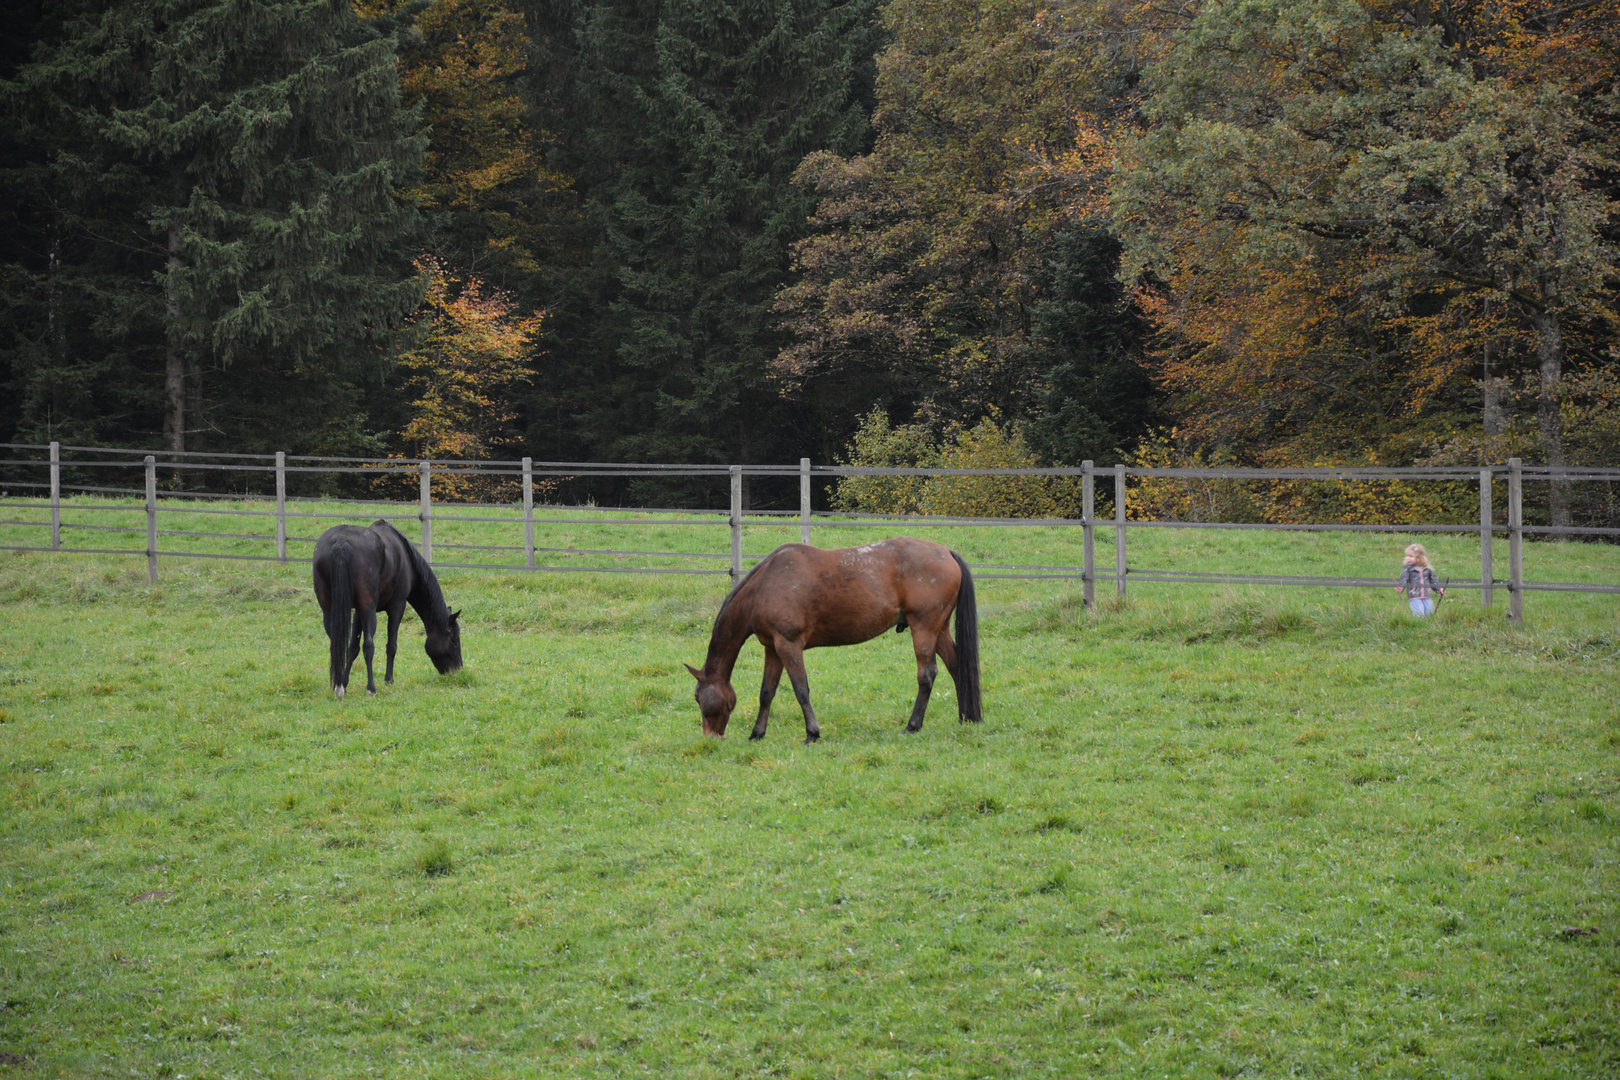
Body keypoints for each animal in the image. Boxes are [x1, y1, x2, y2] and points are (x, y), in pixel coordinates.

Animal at [312, 518, 463, 702]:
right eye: (454, 639)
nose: (458, 671)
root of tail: (342, 543)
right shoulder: (397, 606)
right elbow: (391, 645)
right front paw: (388, 680)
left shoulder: (357, 613)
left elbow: (352, 648)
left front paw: (344, 684)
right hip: (368, 608)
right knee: (369, 646)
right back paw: (371, 688)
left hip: (329, 608)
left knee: (337, 645)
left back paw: (338, 685)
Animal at [680, 534, 972, 744]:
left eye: (698, 697)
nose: (711, 739)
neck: (764, 586)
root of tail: (946, 552)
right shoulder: (773, 649)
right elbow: (766, 692)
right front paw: (757, 733)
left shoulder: (788, 645)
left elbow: (801, 689)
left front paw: (812, 733)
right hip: (939, 629)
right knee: (957, 666)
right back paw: (965, 718)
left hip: (923, 628)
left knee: (927, 675)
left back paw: (912, 726)